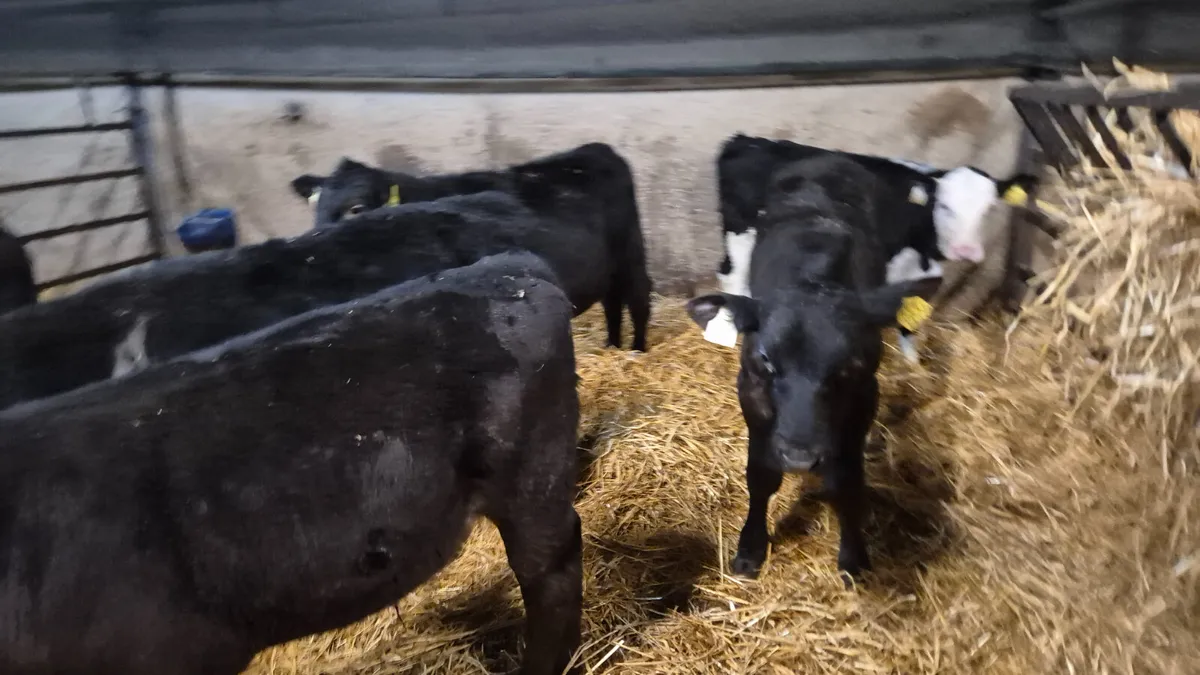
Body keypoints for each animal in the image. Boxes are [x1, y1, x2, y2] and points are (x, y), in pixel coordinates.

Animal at [289, 142, 650, 351]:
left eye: (357, 208)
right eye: (315, 204)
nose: (316, 241)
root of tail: (595, 148)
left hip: (630, 252)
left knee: (638, 300)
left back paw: (637, 349)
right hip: (606, 269)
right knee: (612, 303)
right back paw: (612, 347)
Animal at [686, 155, 942, 584]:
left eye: (850, 362)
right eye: (766, 359)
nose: (800, 458)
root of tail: (828, 158)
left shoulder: (864, 395)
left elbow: (846, 480)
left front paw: (854, 556)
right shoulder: (751, 391)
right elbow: (761, 474)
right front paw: (750, 550)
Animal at [710, 133, 1038, 361]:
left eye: (989, 209)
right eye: (944, 206)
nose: (966, 251)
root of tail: (745, 141)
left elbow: (910, 324)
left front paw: (913, 364)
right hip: (741, 236)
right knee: (732, 277)